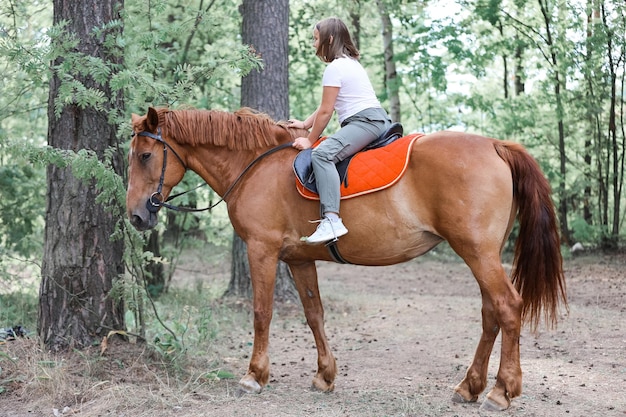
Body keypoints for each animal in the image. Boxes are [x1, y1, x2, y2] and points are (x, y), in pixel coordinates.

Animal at [125, 105, 564, 412]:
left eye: (145, 155)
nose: (136, 215)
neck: (257, 166)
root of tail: (495, 145)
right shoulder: (299, 259)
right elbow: (314, 314)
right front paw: (325, 376)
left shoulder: (262, 250)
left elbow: (262, 312)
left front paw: (254, 376)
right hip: (481, 254)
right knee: (491, 313)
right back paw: (469, 387)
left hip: (476, 252)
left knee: (508, 306)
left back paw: (501, 391)